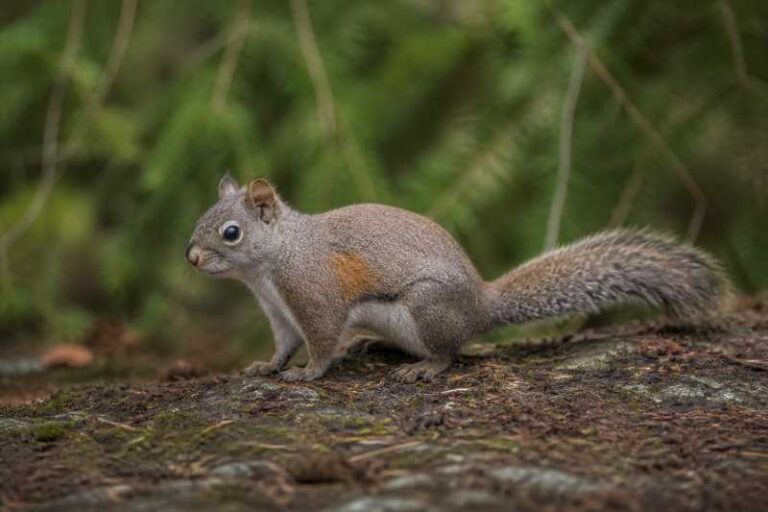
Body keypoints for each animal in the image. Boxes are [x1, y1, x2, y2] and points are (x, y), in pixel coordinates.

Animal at [186, 175, 730, 383]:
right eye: (202, 217)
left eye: (231, 232)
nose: (191, 257)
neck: (271, 265)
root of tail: (481, 306)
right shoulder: (278, 310)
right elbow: (283, 343)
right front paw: (267, 366)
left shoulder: (314, 294)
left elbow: (321, 338)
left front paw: (307, 373)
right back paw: (375, 346)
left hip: (427, 308)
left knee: (450, 351)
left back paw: (424, 368)